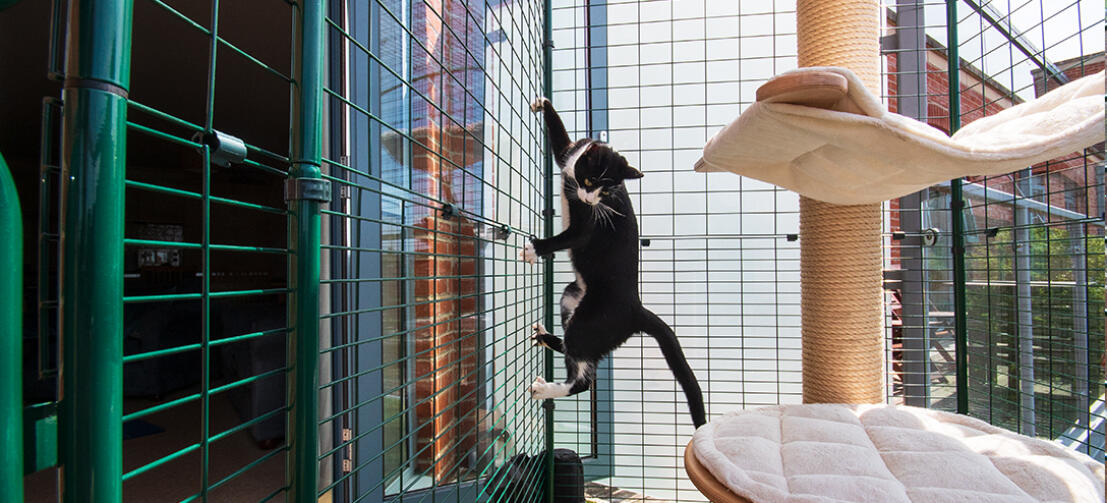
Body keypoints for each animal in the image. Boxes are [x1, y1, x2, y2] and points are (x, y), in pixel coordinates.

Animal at [522, 97, 704, 427]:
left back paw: (545, 387)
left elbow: (571, 237)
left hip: (592, 320)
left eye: (606, 190)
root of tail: (636, 309)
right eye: (591, 180)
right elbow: (560, 141)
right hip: (572, 298)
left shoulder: (587, 224)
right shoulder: (568, 153)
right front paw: (543, 105)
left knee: (583, 373)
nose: (591, 200)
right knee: (580, 356)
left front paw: (533, 248)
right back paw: (546, 338)